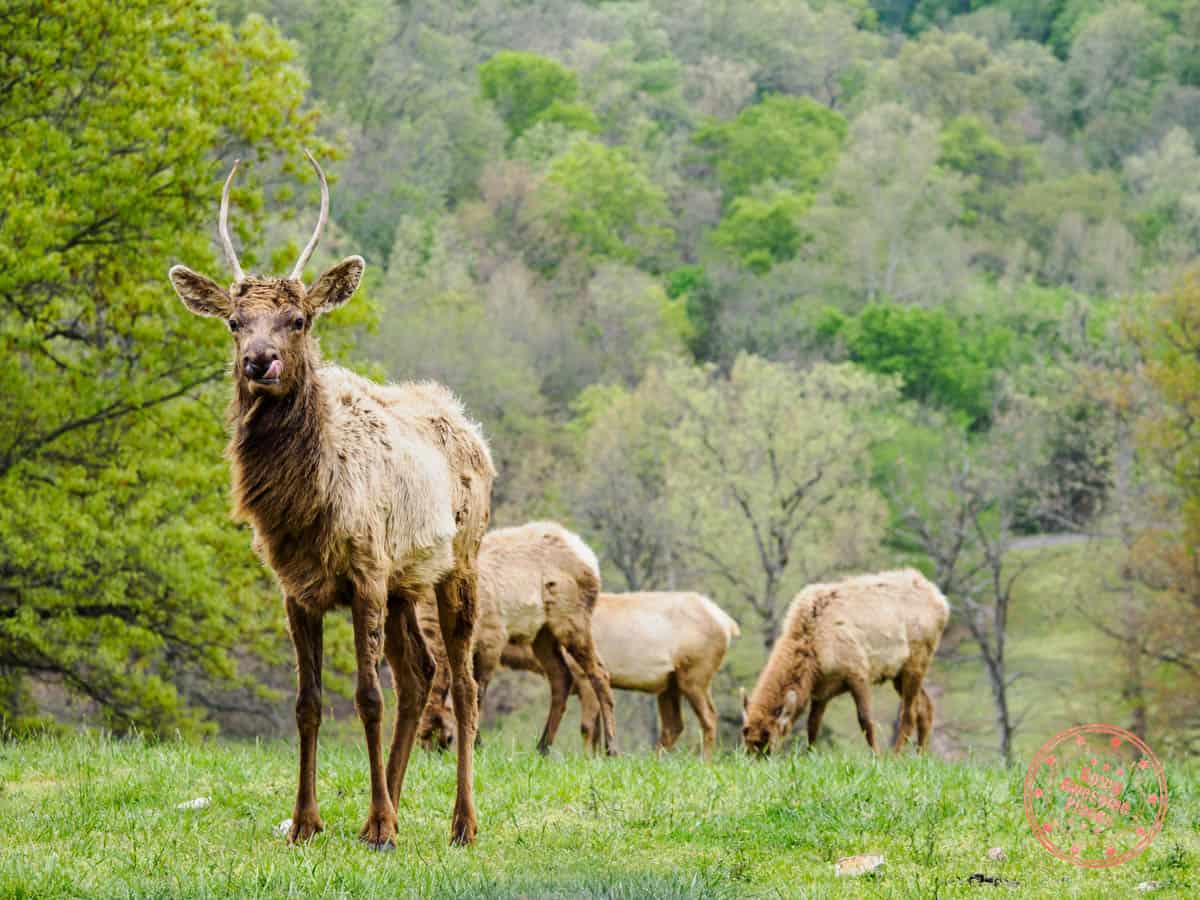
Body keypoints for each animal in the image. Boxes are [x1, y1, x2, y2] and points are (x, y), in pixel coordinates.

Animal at [168, 152, 494, 848]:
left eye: (299, 319)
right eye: (234, 322)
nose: (260, 361)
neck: (304, 510)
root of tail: (469, 425)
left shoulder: (365, 572)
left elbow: (366, 697)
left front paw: (380, 826)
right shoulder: (297, 588)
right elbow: (308, 702)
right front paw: (307, 821)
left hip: (459, 563)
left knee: (462, 681)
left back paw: (458, 821)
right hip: (405, 583)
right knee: (420, 673)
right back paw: (391, 800)